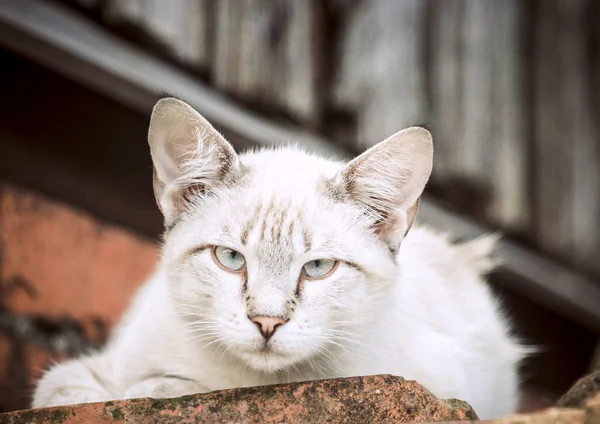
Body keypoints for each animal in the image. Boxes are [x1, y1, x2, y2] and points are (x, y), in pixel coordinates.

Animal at [31, 97, 524, 420]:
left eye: (318, 268)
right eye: (230, 258)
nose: (266, 323)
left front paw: (164, 386)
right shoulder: (86, 373)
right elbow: (67, 391)